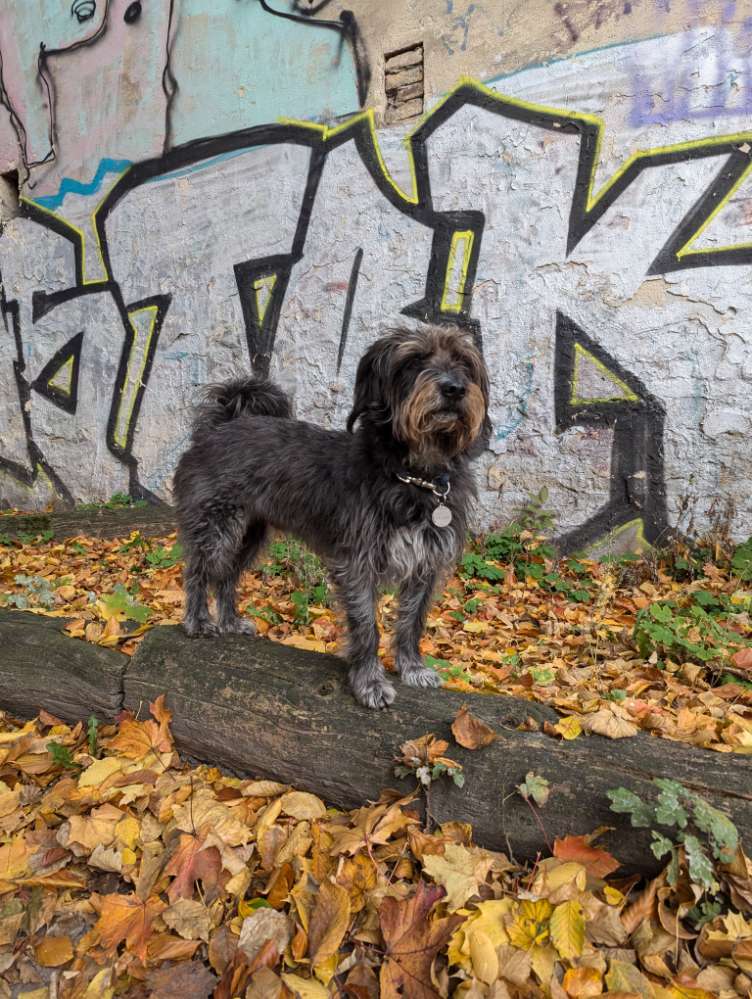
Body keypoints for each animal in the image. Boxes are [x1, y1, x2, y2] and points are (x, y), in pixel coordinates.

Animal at [177, 324, 494, 708]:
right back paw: (198, 623)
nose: (454, 388)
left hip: (251, 535)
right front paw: (370, 683)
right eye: (415, 360)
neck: (416, 477)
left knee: (226, 576)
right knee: (198, 572)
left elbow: (412, 620)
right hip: (216, 528)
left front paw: (413, 668)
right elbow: (367, 626)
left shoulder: (426, 563)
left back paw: (230, 622)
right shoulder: (358, 562)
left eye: (464, 362)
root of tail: (216, 428)